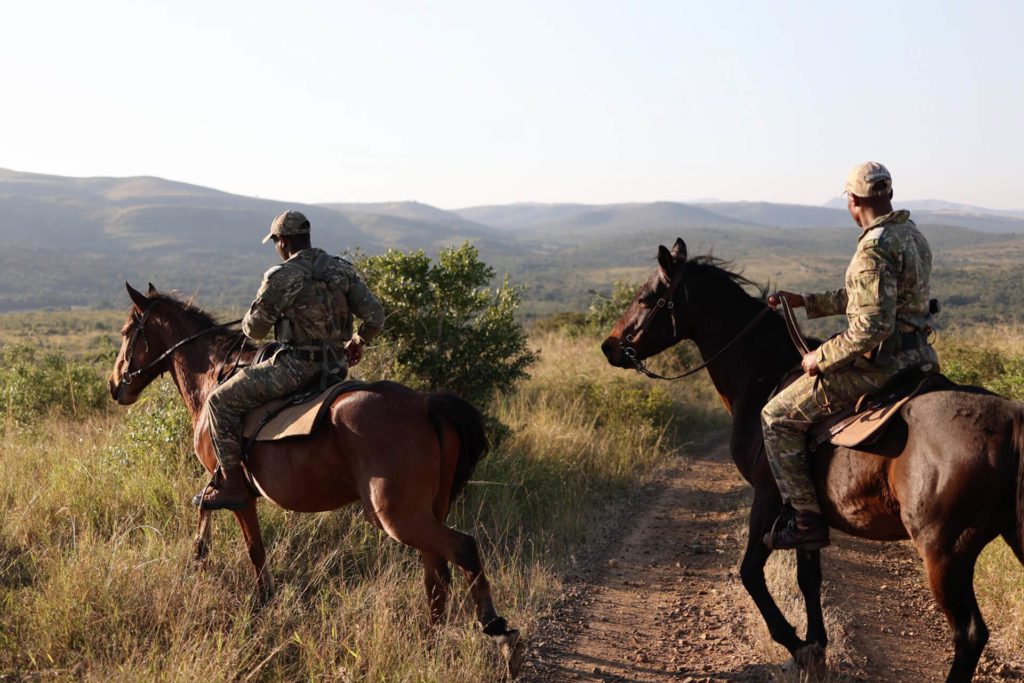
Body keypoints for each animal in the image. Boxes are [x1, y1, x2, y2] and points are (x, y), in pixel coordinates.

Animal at [109, 282, 524, 671]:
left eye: (128, 331)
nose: (115, 386)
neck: (214, 375)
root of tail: (428, 404)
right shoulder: (219, 485)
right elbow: (207, 518)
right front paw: (200, 558)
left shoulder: (234, 489)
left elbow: (253, 548)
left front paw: (262, 600)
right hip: (427, 514)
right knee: (436, 576)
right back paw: (431, 644)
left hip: (399, 518)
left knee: (463, 549)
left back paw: (498, 631)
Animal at [598, 237, 1024, 679]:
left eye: (647, 298)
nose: (609, 346)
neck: (764, 379)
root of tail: (1012, 420)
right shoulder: (806, 515)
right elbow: (809, 576)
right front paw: (817, 643)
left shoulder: (770, 496)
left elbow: (750, 573)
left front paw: (797, 644)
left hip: (944, 552)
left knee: (969, 633)